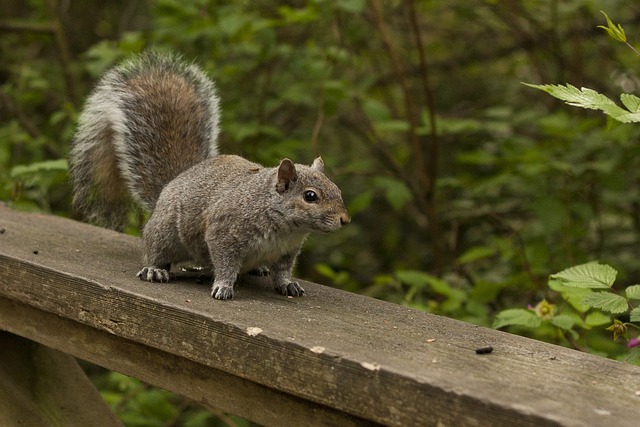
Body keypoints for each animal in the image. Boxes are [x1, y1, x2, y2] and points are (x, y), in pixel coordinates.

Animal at [69, 51, 350, 300]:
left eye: (337, 190)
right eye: (310, 196)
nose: (345, 220)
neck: (284, 227)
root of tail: (172, 184)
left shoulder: (287, 251)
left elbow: (282, 271)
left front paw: (288, 284)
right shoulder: (224, 232)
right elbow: (225, 264)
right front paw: (223, 286)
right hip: (164, 232)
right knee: (155, 250)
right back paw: (156, 269)